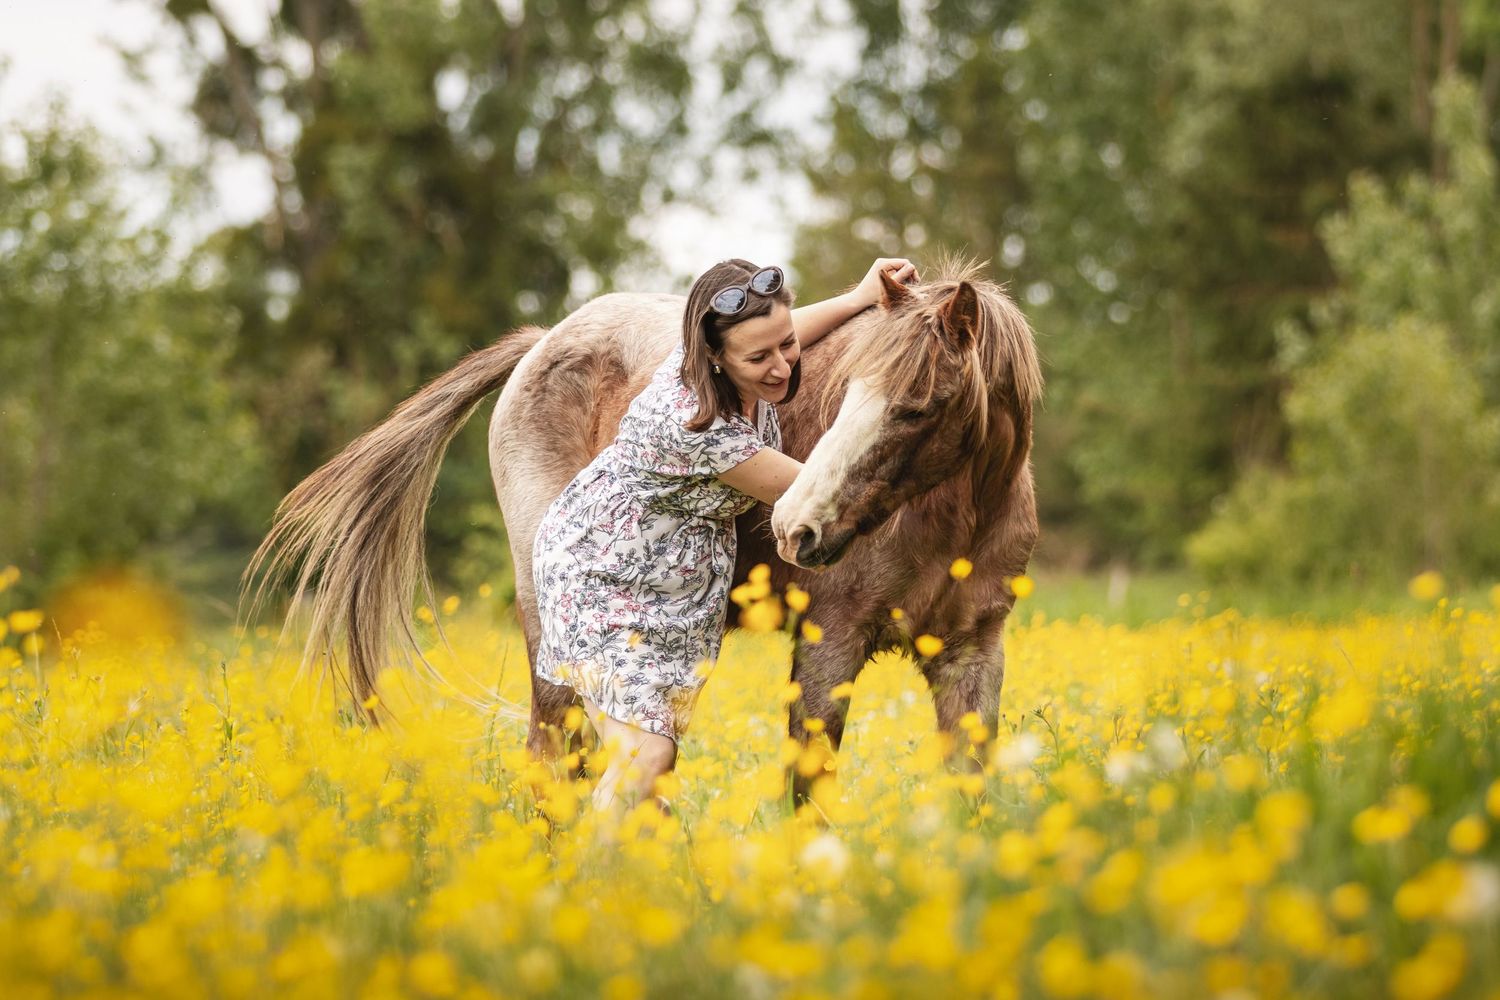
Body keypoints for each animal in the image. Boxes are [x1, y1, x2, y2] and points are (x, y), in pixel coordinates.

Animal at [245, 258, 1042, 797]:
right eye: (847, 396)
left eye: (917, 407)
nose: (799, 529)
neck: (958, 517)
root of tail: (541, 342)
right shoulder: (829, 644)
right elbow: (807, 792)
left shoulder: (972, 654)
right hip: (552, 642)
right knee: (558, 760)